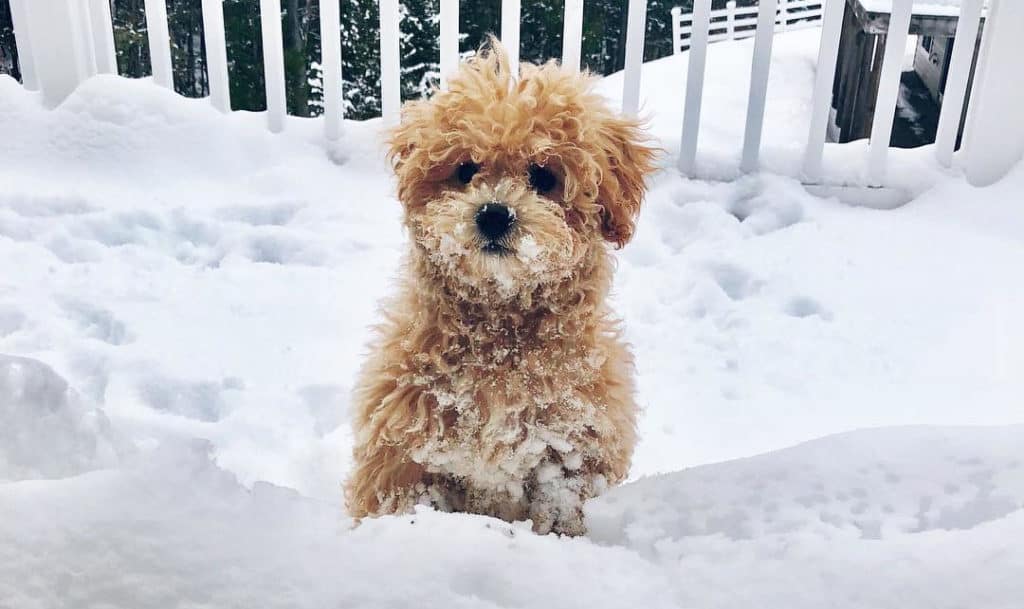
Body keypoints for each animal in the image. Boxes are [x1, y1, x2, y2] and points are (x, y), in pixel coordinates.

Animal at [344, 41, 655, 540]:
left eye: (544, 176)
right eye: (465, 169)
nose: (493, 214)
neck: (499, 336)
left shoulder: (575, 450)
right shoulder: (402, 449)